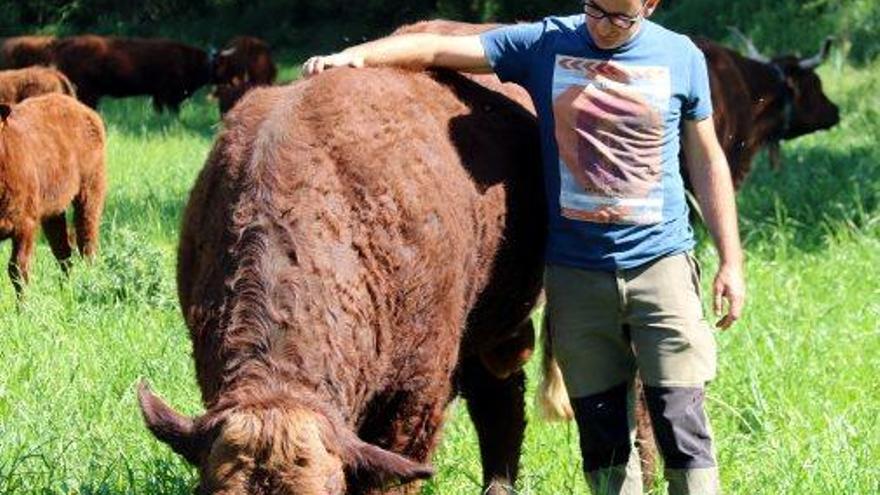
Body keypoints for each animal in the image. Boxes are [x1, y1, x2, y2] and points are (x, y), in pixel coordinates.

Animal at [0, 94, 106, 296]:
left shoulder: (26, 223)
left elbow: (18, 269)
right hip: (53, 210)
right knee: (64, 252)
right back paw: (66, 292)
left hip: (91, 189)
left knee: (87, 244)